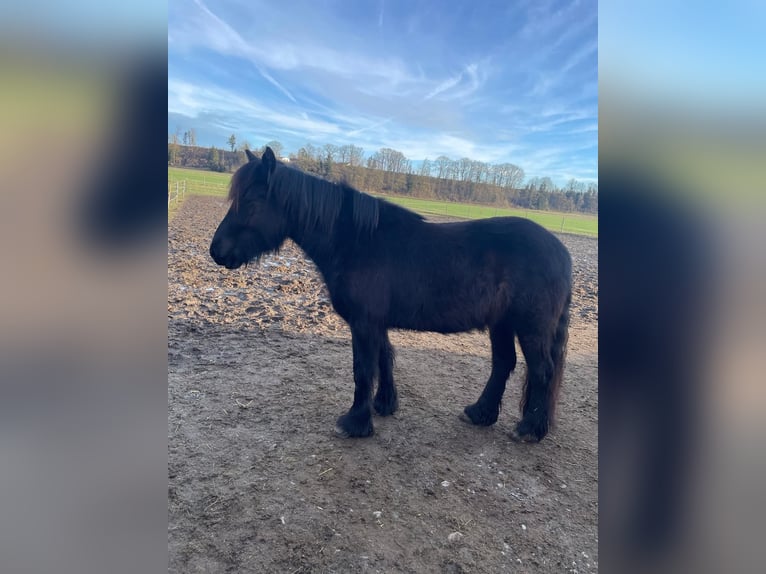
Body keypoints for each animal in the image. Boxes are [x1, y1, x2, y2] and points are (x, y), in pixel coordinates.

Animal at [208, 146, 568, 444]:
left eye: (251, 202)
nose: (216, 251)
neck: (356, 241)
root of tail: (561, 250)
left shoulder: (364, 322)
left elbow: (363, 368)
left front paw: (355, 422)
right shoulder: (374, 322)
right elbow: (384, 359)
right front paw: (384, 404)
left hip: (531, 327)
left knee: (542, 371)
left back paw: (529, 429)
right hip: (502, 323)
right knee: (503, 364)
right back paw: (480, 413)